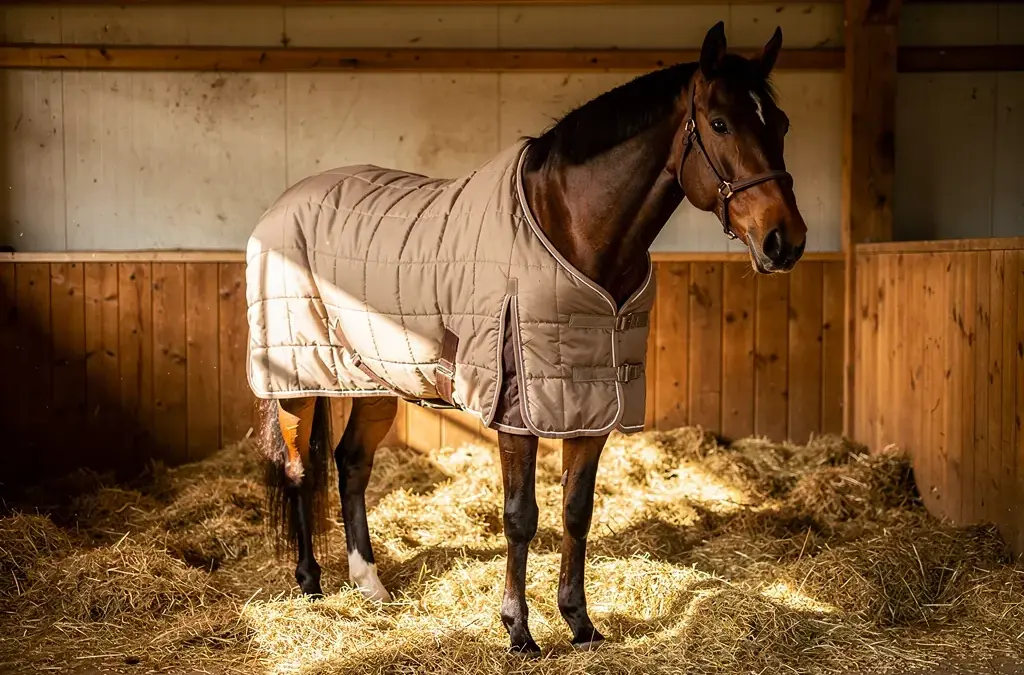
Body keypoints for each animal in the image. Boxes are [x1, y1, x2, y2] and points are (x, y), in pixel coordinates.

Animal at [248, 20, 807, 655]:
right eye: (719, 123)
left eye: (780, 124)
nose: (784, 241)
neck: (569, 226)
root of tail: (281, 206)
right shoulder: (517, 412)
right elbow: (520, 516)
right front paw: (518, 629)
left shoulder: (589, 403)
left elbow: (576, 512)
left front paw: (580, 624)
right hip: (295, 381)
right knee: (299, 470)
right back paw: (311, 585)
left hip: (377, 379)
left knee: (350, 465)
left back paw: (370, 585)